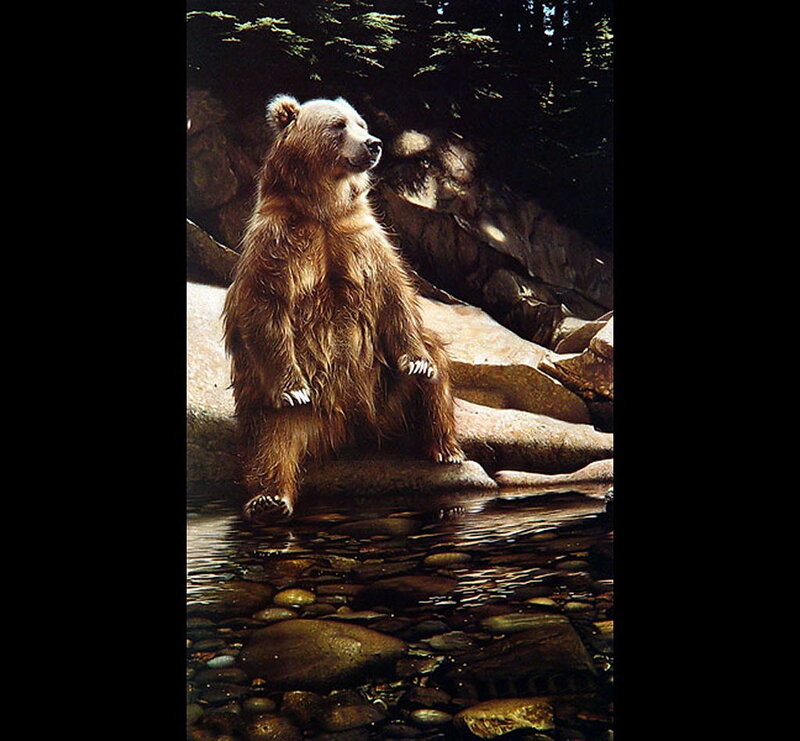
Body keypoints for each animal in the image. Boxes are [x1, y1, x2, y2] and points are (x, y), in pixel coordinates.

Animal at [222, 94, 464, 522]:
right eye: (338, 125)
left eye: (361, 122)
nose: (374, 144)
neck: (324, 206)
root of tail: (352, 424)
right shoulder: (278, 243)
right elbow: (265, 307)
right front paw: (292, 390)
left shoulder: (363, 238)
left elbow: (395, 296)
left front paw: (418, 363)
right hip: (296, 404)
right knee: (272, 437)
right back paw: (269, 499)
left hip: (384, 387)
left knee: (435, 372)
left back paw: (444, 447)